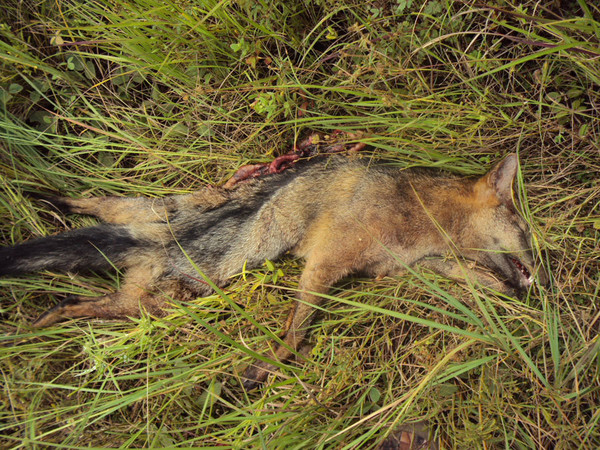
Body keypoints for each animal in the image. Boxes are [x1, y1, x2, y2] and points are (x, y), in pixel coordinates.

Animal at [0, 154, 548, 386]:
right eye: (524, 229)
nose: (541, 275)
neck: (421, 217)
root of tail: (152, 241)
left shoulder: (399, 268)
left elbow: (462, 275)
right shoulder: (326, 262)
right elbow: (294, 331)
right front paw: (270, 365)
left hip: (146, 286)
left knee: (84, 288)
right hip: (166, 277)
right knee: (87, 222)